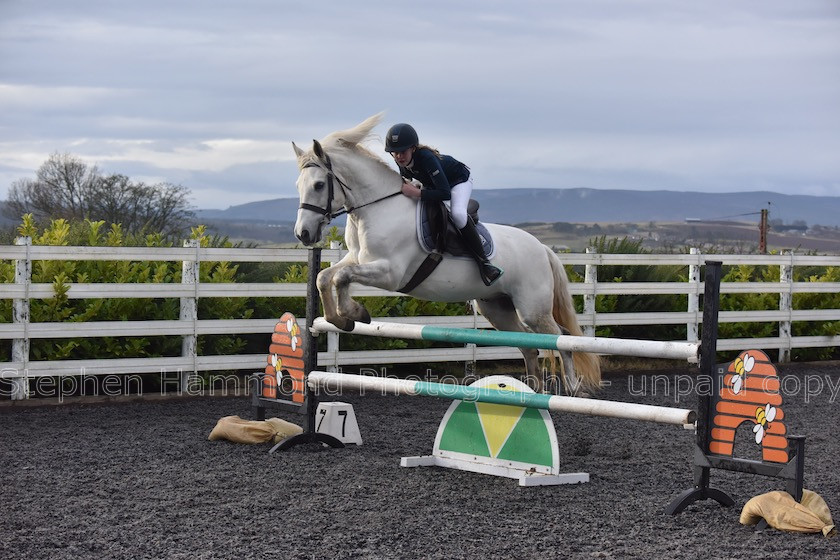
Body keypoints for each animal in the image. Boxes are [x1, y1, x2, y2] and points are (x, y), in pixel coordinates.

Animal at [292, 114, 600, 394]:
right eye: (298, 186)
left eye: (319, 185)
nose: (303, 234)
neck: (378, 208)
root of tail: (543, 248)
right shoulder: (358, 259)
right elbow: (325, 277)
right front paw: (343, 318)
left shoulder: (389, 272)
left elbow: (341, 277)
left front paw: (353, 313)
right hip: (497, 307)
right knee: (528, 345)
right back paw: (533, 390)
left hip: (533, 308)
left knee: (561, 339)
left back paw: (573, 388)